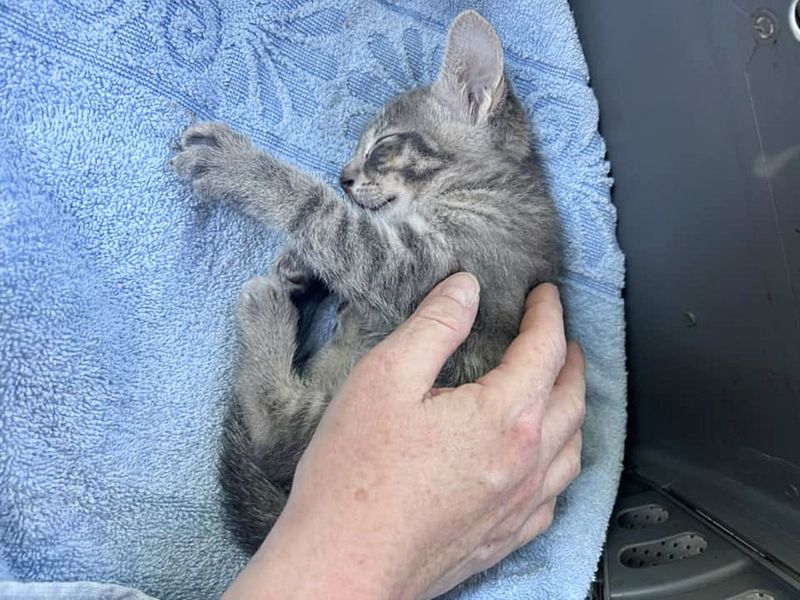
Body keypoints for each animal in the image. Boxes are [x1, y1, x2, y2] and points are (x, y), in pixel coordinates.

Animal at [172, 10, 560, 552]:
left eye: (383, 145)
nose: (342, 176)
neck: (496, 189)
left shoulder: (431, 265)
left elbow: (330, 220)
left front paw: (241, 168)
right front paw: (302, 263)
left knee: (276, 431)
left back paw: (267, 308)